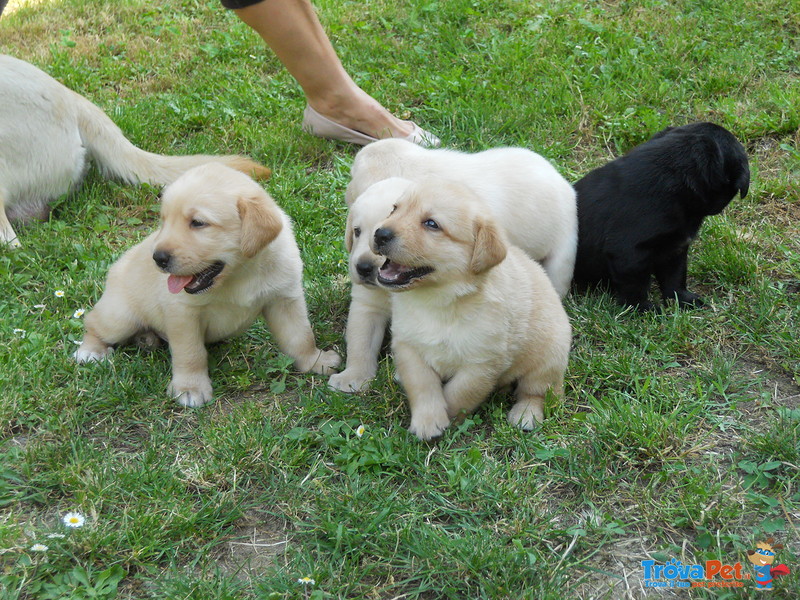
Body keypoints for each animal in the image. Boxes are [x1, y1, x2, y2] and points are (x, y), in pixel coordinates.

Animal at [73, 163, 340, 408]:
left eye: (198, 223)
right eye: (164, 221)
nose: (158, 258)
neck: (240, 274)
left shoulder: (285, 298)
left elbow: (301, 336)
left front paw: (315, 361)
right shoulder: (183, 312)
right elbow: (190, 353)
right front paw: (189, 388)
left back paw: (146, 339)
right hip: (120, 316)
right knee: (93, 322)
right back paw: (90, 351)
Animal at [372, 178, 572, 440]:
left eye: (431, 224)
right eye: (394, 209)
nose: (379, 233)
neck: (438, 300)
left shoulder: (481, 363)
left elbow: (459, 394)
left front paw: (448, 421)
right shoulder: (409, 346)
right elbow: (423, 385)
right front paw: (428, 421)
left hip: (548, 359)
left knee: (538, 392)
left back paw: (526, 415)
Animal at [576, 121, 752, 310]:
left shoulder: (674, 247)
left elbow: (674, 277)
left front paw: (681, 299)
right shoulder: (628, 252)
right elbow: (634, 285)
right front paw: (643, 308)